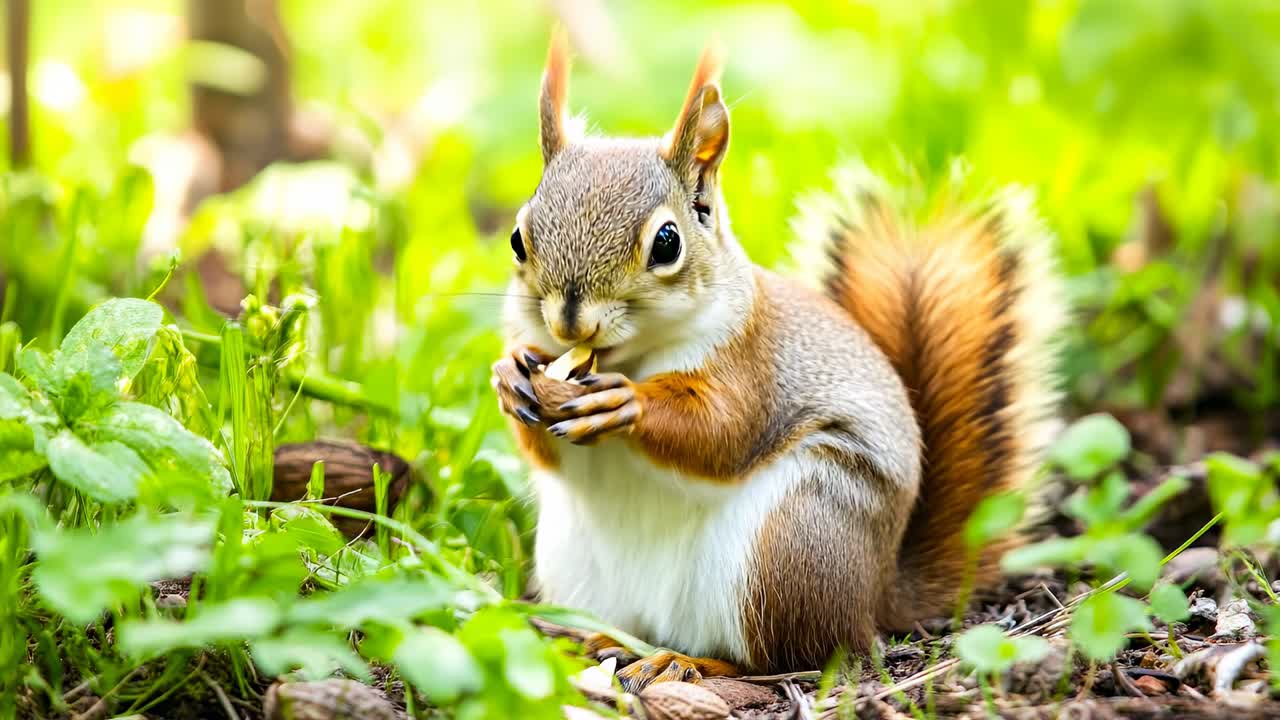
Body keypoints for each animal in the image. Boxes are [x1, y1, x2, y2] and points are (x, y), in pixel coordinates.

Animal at [491, 33, 1064, 692]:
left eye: (667, 243)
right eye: (518, 238)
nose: (569, 322)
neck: (633, 357)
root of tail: (876, 595)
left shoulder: (752, 363)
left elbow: (723, 432)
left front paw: (625, 403)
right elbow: (546, 451)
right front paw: (511, 376)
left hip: (789, 546)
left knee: (788, 656)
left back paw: (690, 663)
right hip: (577, 566)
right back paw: (601, 644)